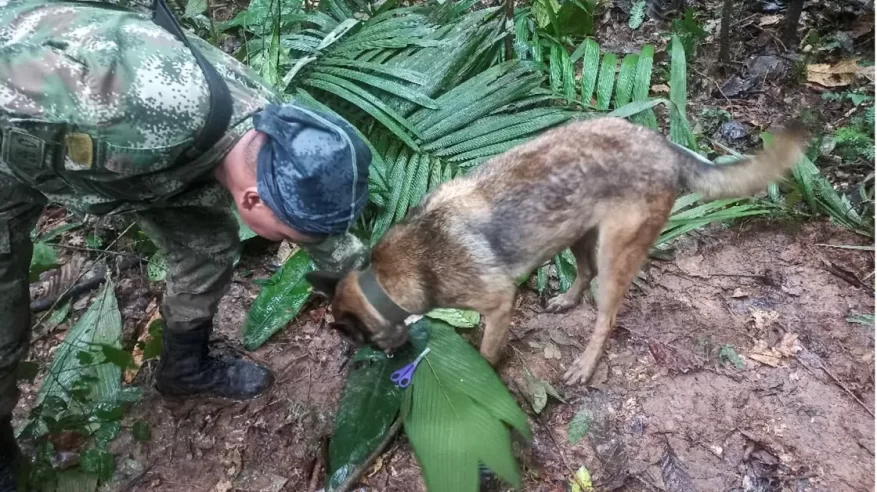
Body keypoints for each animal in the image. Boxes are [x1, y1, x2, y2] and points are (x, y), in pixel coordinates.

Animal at [308, 117, 808, 386]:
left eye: (361, 341)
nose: (391, 362)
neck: (389, 277)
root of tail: (663, 145)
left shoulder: (499, 303)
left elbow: (487, 351)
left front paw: (482, 375)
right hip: (576, 233)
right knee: (582, 274)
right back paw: (566, 300)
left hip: (614, 254)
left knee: (606, 315)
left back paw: (585, 363)